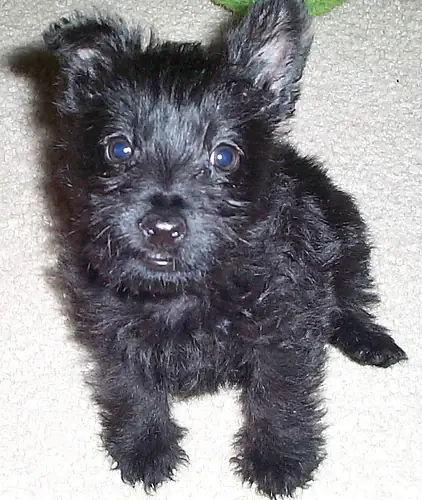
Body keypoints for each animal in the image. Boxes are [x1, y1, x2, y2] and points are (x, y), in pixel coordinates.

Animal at [43, 0, 407, 497]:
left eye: (224, 156)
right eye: (119, 149)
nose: (162, 227)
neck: (182, 291)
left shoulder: (284, 326)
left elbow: (280, 395)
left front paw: (278, 459)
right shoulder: (111, 326)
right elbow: (131, 386)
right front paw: (144, 447)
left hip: (344, 232)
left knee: (349, 296)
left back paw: (370, 340)